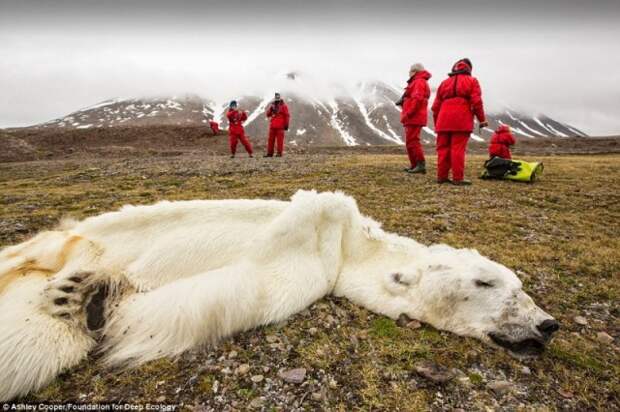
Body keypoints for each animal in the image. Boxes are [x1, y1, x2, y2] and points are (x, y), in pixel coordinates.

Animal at [0, 191, 556, 402]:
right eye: (486, 282)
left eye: (521, 287)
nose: (547, 324)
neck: (350, 246)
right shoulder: (318, 236)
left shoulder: (312, 271)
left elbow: (234, 291)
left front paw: (95, 300)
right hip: (71, 238)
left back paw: (76, 294)